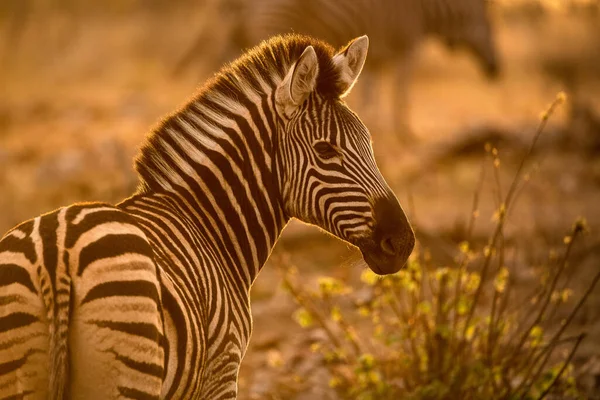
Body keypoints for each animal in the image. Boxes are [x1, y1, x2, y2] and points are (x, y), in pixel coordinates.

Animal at [176, 0, 500, 141]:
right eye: (490, 28)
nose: (496, 70)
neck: (427, 11)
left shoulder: (378, 54)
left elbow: (371, 92)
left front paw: (377, 128)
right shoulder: (405, 45)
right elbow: (400, 92)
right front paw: (404, 132)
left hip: (236, 32)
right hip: (270, 24)